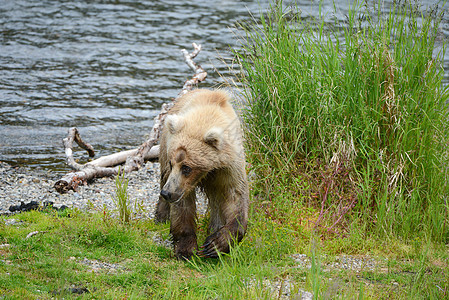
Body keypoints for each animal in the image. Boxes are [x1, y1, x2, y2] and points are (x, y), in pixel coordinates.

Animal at [155, 88, 248, 258]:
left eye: (186, 167)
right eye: (173, 163)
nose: (167, 193)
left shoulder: (229, 166)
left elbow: (235, 196)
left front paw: (215, 244)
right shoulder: (180, 182)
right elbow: (183, 206)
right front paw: (186, 249)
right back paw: (161, 216)